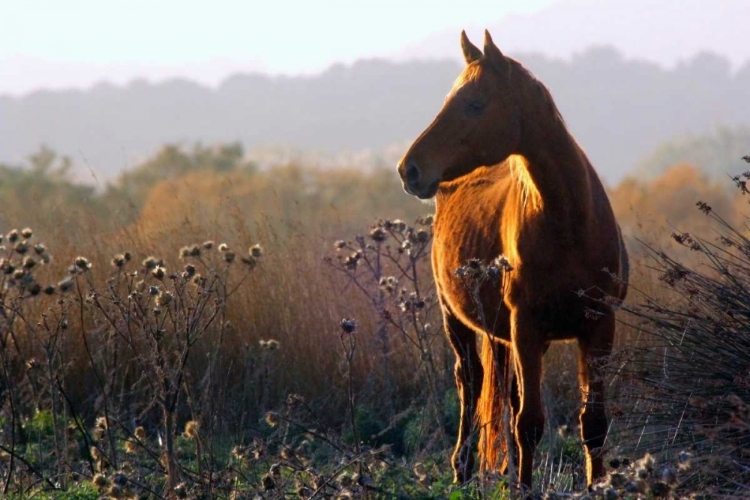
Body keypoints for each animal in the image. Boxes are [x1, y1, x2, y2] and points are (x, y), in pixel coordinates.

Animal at [396, 29, 632, 490]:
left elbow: (592, 422)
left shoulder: (597, 325)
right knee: (470, 382)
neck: (567, 222)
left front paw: (595, 485)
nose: (409, 170)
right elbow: (529, 424)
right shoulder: (527, 328)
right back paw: (463, 467)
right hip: (460, 322)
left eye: (474, 103)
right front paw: (524, 489)